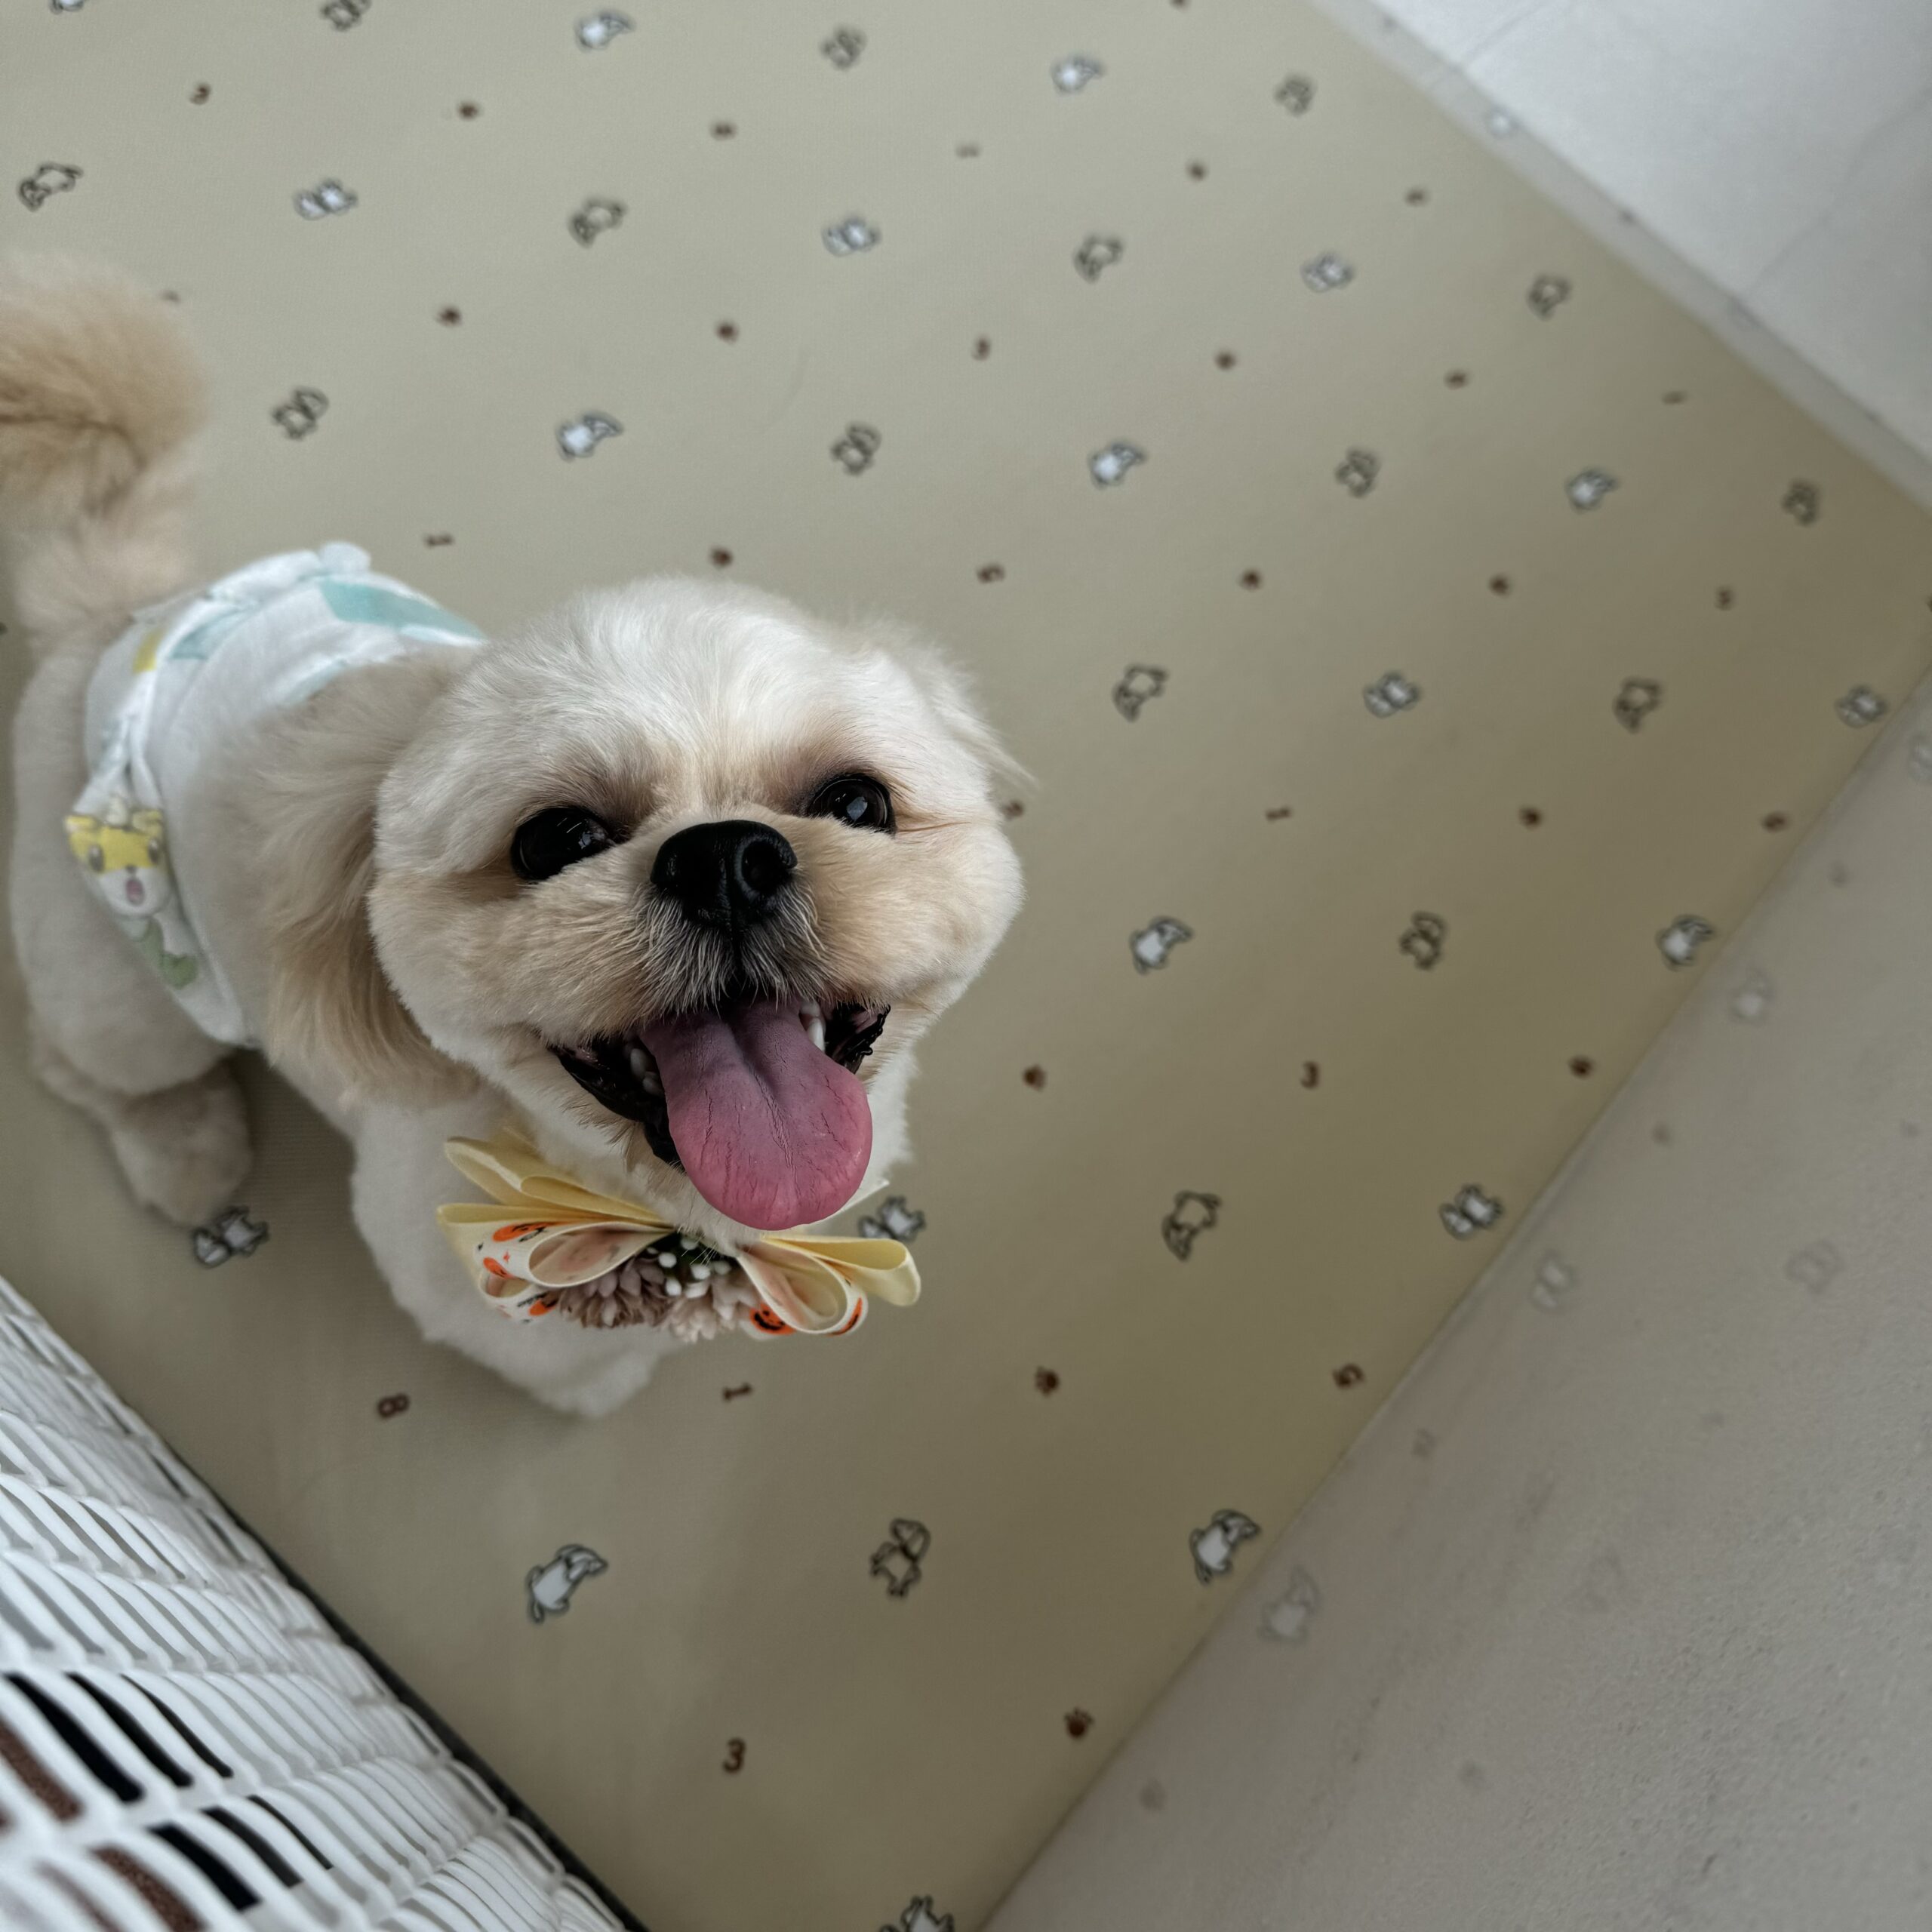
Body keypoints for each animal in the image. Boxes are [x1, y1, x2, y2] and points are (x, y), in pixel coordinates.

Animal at [0, 258, 1023, 1414]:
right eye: (554, 840)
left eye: (857, 802)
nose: (724, 859)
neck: (660, 1205)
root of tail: (121, 614)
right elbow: (578, 1369)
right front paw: (608, 1385)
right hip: (116, 976)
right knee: (78, 1056)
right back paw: (186, 1151)